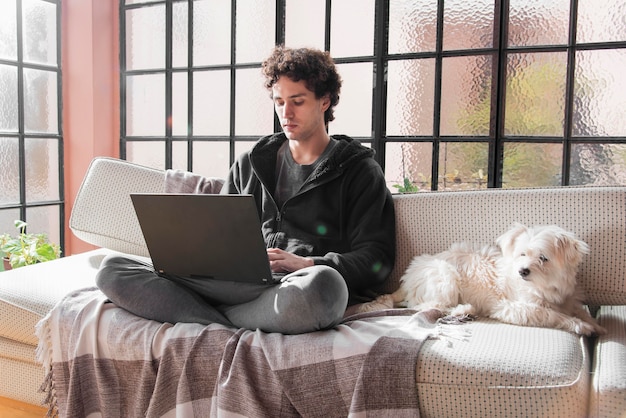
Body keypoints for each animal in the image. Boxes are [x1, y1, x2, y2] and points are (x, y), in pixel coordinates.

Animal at [372, 222, 604, 336]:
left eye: (543, 258)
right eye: (522, 254)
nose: (523, 271)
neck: (543, 287)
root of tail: (408, 277)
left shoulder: (568, 299)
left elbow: (579, 309)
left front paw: (595, 324)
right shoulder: (513, 307)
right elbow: (548, 314)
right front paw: (580, 326)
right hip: (445, 276)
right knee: (429, 306)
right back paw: (463, 309)